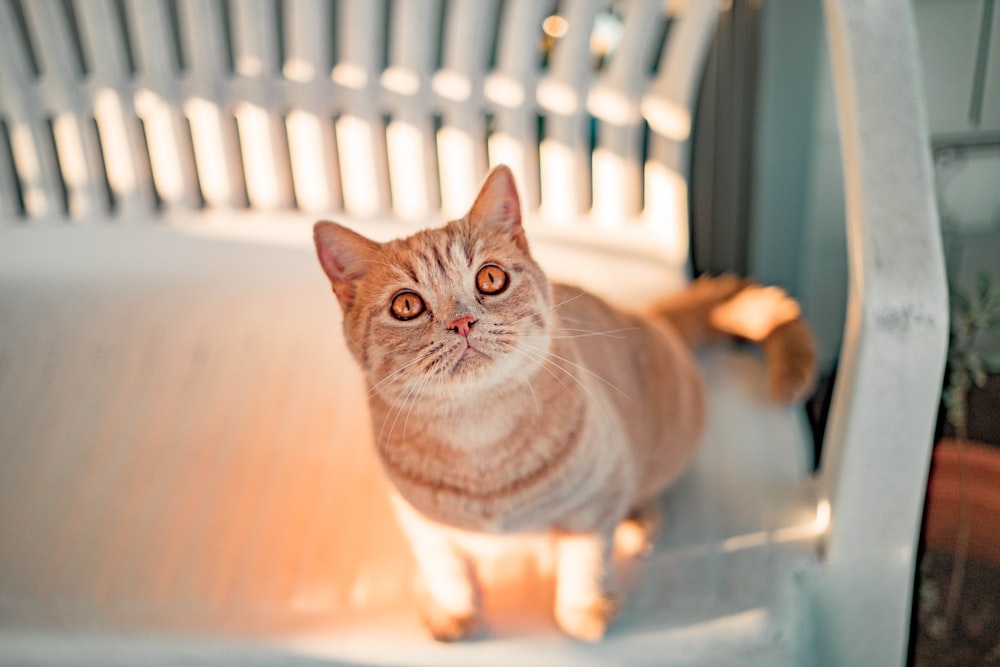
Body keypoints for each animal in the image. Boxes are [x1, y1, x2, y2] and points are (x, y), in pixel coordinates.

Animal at [314, 164, 820, 644]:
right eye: (406, 306)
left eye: (490, 278)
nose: (461, 322)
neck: (480, 441)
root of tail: (650, 316)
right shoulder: (424, 527)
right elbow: (448, 569)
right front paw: (454, 612)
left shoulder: (593, 503)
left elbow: (586, 559)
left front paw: (584, 610)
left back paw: (640, 519)